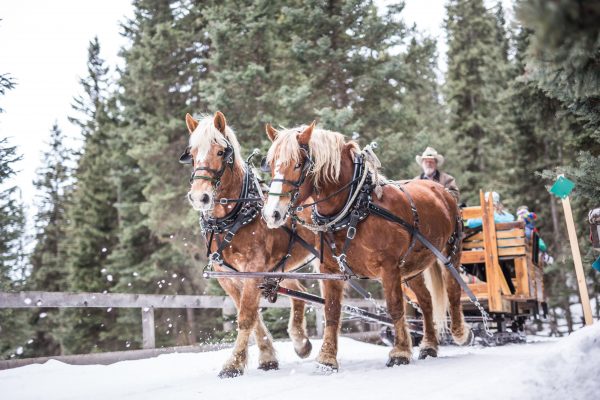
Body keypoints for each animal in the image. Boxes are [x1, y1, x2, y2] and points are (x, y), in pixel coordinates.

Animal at [180, 112, 316, 378]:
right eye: (192, 153)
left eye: (221, 151)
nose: (199, 197)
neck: (234, 216)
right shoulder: (228, 276)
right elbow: (252, 316)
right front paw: (267, 357)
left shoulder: (253, 270)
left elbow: (246, 317)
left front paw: (233, 364)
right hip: (280, 268)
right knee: (299, 293)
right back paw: (300, 342)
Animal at [262, 123, 474, 370]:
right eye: (270, 164)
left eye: (297, 164)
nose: (272, 213)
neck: (355, 206)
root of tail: (440, 189)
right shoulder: (330, 270)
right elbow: (331, 311)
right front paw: (327, 358)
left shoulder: (389, 267)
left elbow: (395, 307)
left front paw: (400, 352)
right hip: (412, 267)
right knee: (426, 301)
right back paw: (429, 345)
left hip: (450, 251)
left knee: (453, 289)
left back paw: (460, 332)